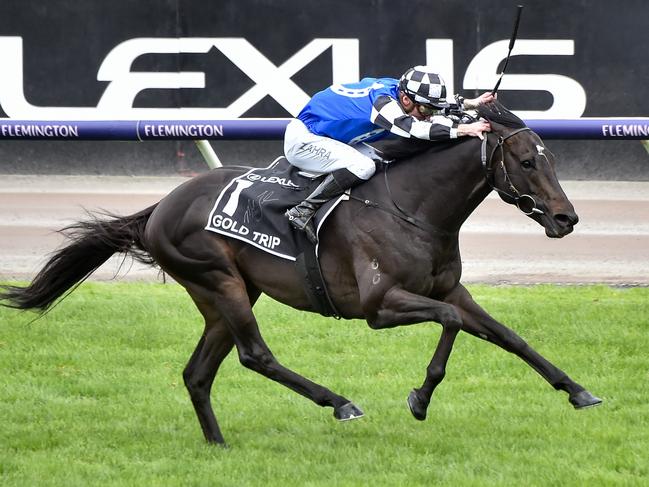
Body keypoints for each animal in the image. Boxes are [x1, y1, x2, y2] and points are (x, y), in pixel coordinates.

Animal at [0, 102, 600, 446]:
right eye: (528, 162)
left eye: (551, 159)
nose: (566, 218)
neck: (411, 206)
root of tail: (160, 208)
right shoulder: (380, 306)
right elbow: (450, 323)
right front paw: (420, 398)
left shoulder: (448, 287)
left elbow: (508, 336)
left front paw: (578, 391)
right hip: (220, 280)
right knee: (255, 355)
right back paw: (339, 403)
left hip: (223, 295)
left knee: (198, 372)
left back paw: (218, 446)